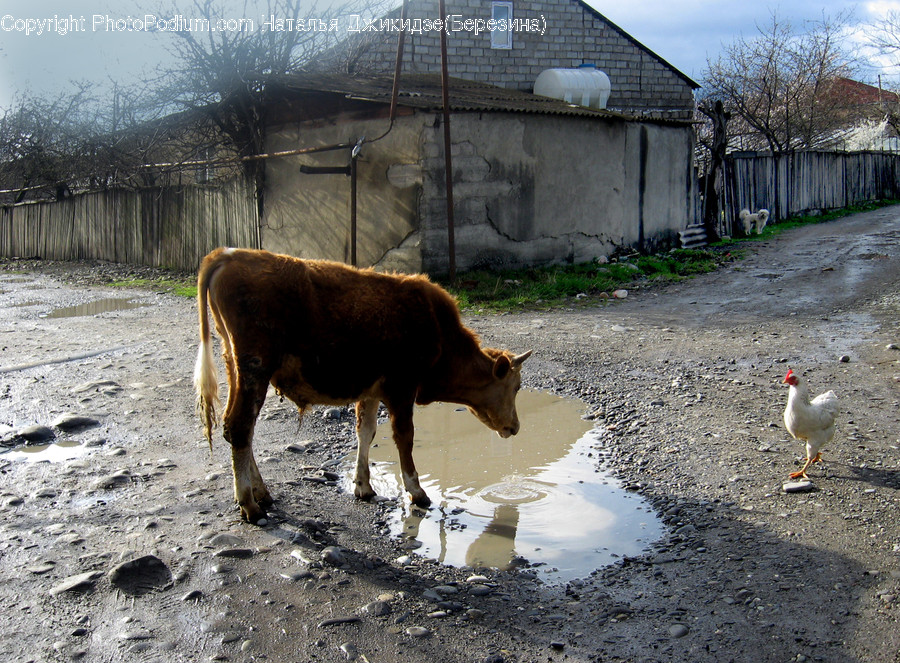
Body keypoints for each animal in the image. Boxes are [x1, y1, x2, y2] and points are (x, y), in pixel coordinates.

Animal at [193, 247, 531, 523]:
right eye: (515, 387)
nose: (516, 427)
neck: (438, 330)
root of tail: (228, 254)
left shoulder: (371, 390)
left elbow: (365, 432)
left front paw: (363, 486)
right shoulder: (402, 386)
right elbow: (404, 438)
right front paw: (417, 491)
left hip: (234, 364)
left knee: (236, 428)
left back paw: (261, 492)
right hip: (255, 366)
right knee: (241, 426)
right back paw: (250, 504)